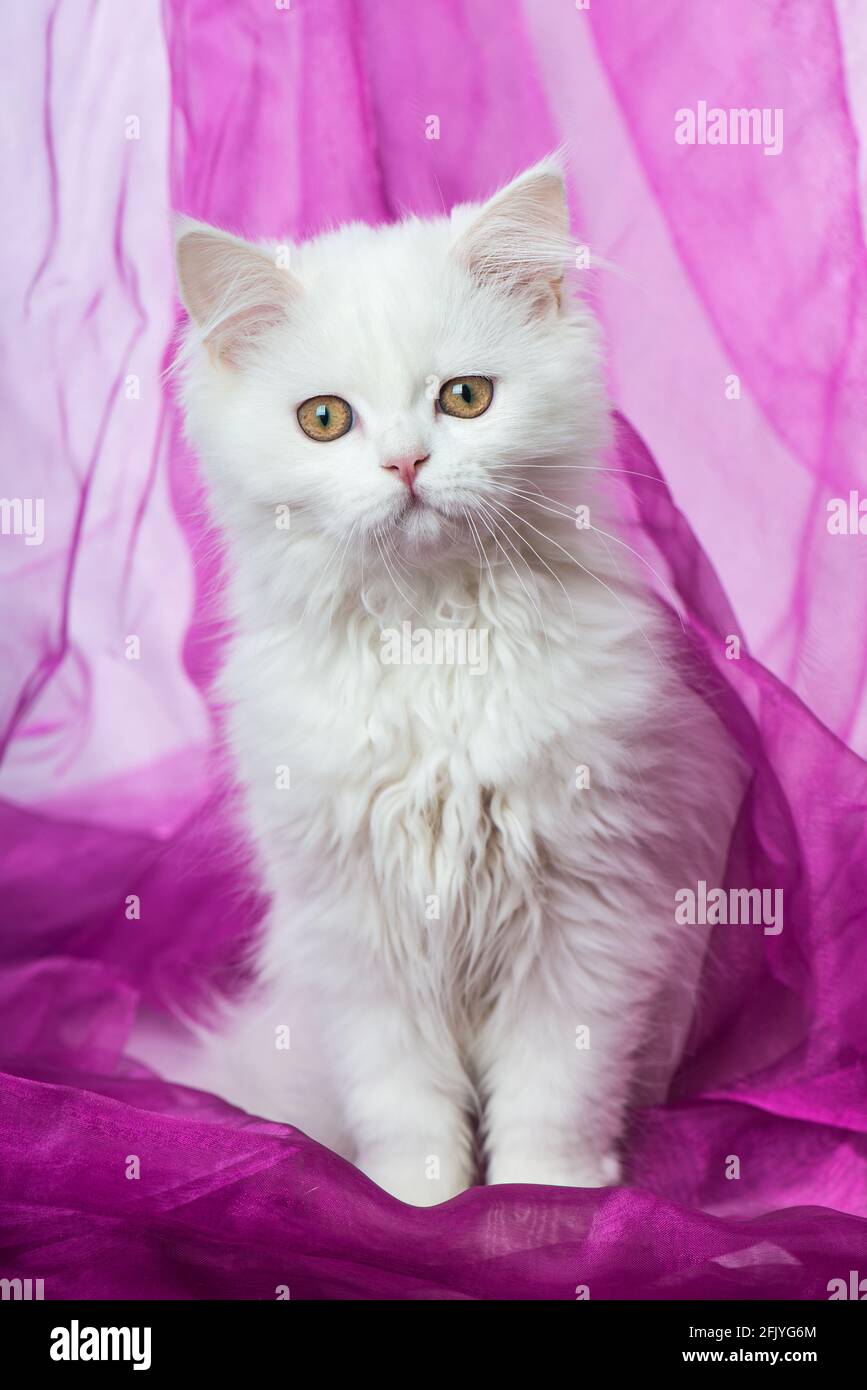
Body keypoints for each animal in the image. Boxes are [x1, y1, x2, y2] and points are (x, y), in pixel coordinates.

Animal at [163, 159, 744, 1206]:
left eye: (465, 399)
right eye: (324, 419)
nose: (406, 463)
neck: (434, 638)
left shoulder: (592, 909)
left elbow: (554, 1092)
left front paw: (543, 1201)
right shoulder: (355, 929)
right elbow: (405, 1106)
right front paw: (418, 1208)